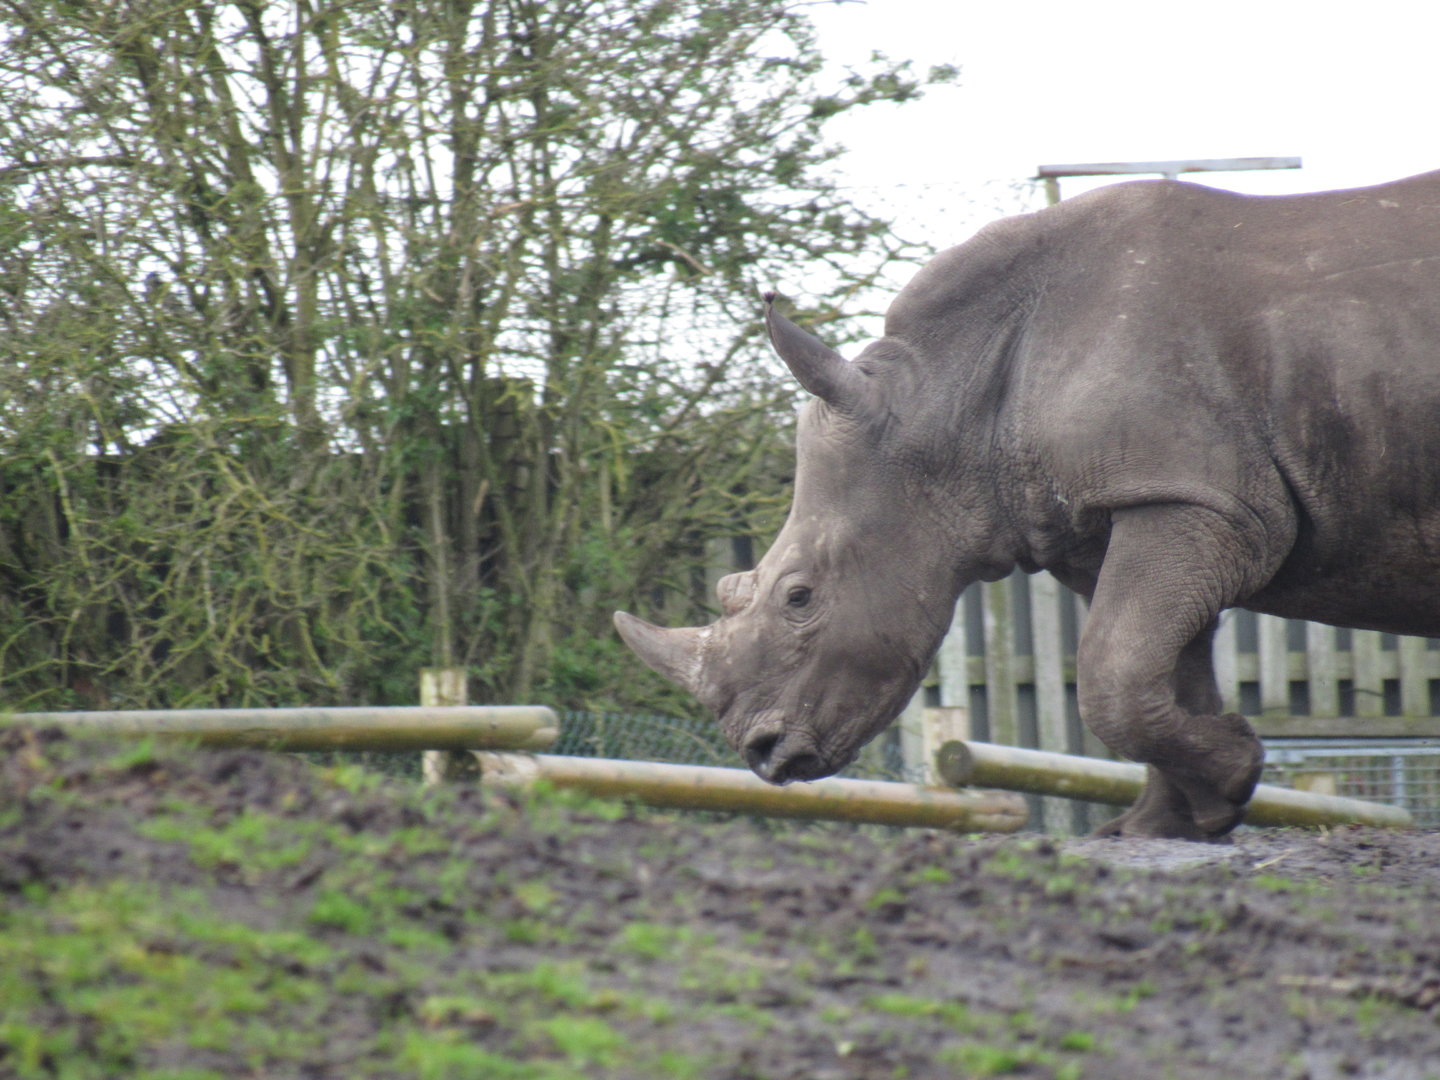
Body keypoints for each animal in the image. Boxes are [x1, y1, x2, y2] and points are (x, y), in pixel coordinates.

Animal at [614, 170, 1440, 840]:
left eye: (799, 597)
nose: (760, 754)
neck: (946, 401)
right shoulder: (1151, 503)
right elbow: (1159, 663)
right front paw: (1168, 822)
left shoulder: (1196, 498)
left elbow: (1111, 669)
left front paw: (1233, 772)